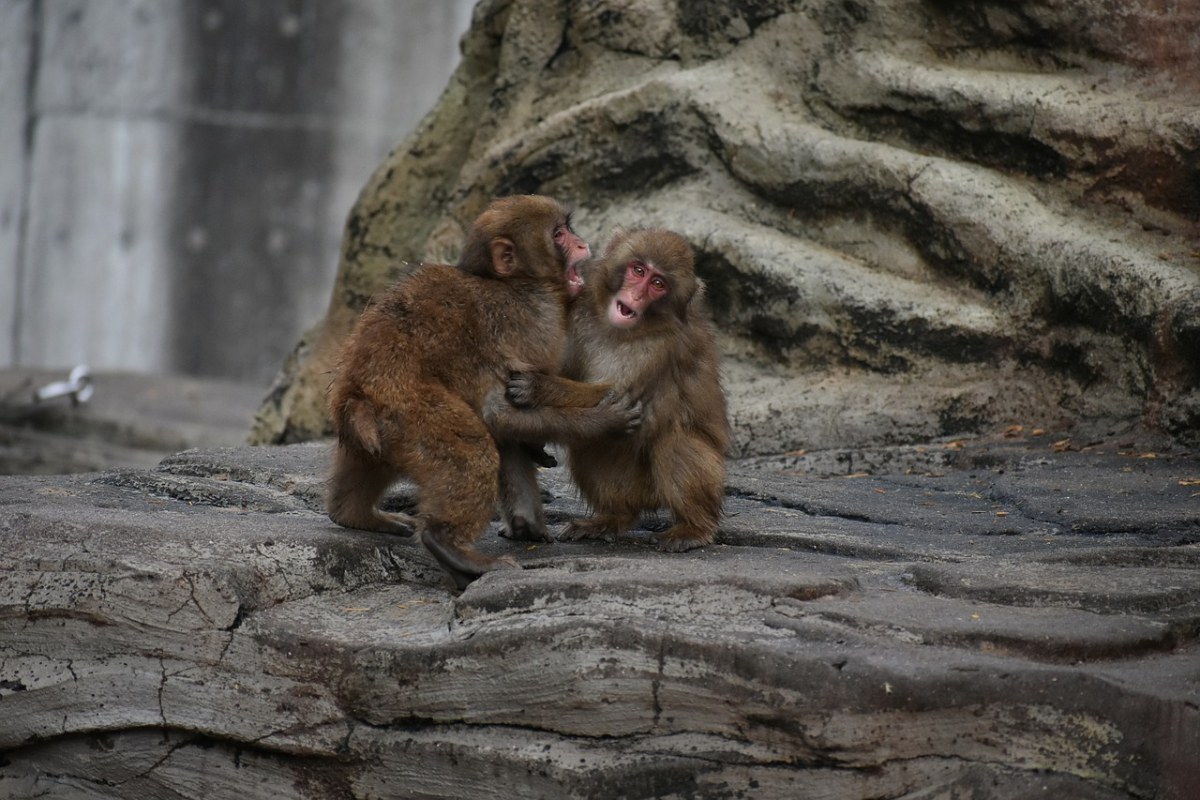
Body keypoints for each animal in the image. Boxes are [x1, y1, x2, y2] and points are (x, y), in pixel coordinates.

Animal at [324, 196, 643, 592]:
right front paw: (605, 418)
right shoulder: (535, 318)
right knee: (470, 447)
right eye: (559, 234)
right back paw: (448, 544)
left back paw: (353, 514)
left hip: (372, 432)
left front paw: (534, 454)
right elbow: (498, 413)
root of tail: (357, 392)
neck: (516, 282)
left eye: (568, 229)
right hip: (408, 413)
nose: (583, 244)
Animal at [506, 227, 729, 554]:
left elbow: (617, 395)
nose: (635, 296)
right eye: (639, 270)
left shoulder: (658, 347)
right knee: (589, 447)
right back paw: (612, 518)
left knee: (675, 440)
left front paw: (537, 387)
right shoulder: (579, 309)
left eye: (658, 284)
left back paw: (695, 527)